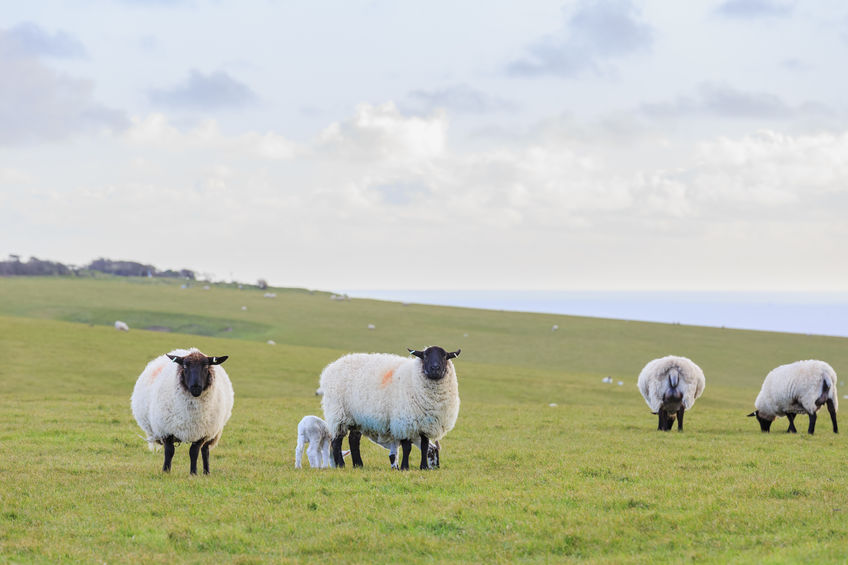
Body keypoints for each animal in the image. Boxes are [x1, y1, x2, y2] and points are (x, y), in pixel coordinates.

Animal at [320, 346, 464, 470]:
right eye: (425, 355)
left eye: (445, 356)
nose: (435, 368)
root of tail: (331, 367)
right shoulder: (404, 422)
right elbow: (407, 447)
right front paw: (405, 467)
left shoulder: (425, 425)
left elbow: (424, 446)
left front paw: (423, 467)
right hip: (338, 414)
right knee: (337, 441)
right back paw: (341, 465)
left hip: (357, 418)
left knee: (354, 440)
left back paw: (358, 465)